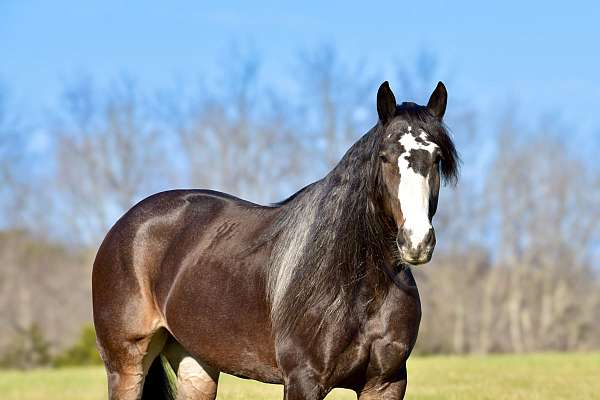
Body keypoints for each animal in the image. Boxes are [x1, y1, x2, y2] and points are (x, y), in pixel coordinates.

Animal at [92, 82, 460, 400]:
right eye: (384, 157)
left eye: (437, 159)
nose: (416, 241)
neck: (355, 286)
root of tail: (125, 225)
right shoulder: (302, 382)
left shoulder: (385, 384)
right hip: (126, 365)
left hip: (195, 363)